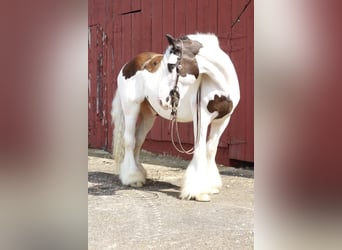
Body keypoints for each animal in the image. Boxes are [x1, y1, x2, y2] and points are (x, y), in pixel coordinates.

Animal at [111, 33, 239, 201]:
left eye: (171, 65)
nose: (162, 99)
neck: (219, 84)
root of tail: (128, 65)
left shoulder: (223, 120)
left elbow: (211, 149)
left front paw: (211, 186)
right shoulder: (201, 119)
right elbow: (200, 149)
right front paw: (198, 192)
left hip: (148, 115)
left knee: (138, 140)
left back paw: (140, 173)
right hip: (131, 108)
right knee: (130, 141)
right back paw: (132, 178)